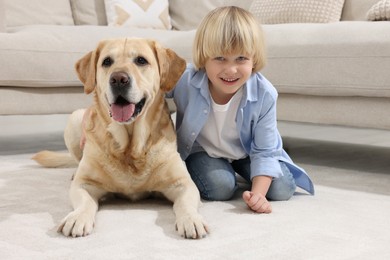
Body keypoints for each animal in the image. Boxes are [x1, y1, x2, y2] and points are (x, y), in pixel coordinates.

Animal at [33, 37, 209, 239]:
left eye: (141, 60)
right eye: (107, 62)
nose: (118, 79)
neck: (130, 147)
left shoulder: (182, 183)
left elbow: (185, 203)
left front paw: (191, 219)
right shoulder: (84, 184)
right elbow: (84, 200)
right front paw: (77, 217)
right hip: (75, 119)